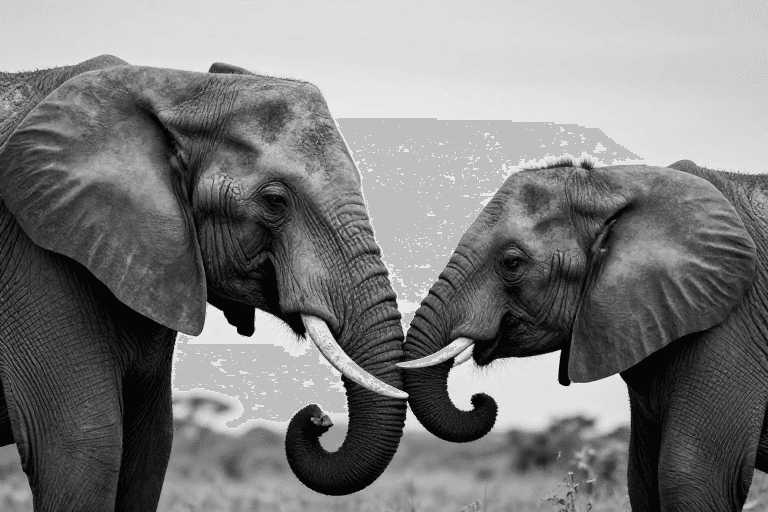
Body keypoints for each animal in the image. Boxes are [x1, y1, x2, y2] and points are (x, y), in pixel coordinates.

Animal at [0, 55, 408, 510]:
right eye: (275, 202)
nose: (319, 418)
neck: (178, 89)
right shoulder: (39, 252)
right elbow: (82, 448)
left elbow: (150, 446)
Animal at [398, 157, 768, 511]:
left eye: (512, 263)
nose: (480, 399)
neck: (611, 184)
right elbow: (642, 483)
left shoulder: (728, 324)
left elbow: (691, 481)